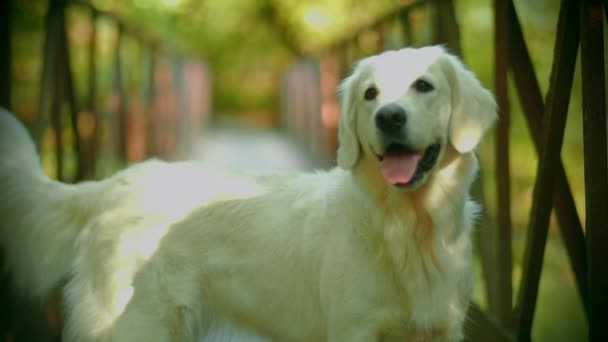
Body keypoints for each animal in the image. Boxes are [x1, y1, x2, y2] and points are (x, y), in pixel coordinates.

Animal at [0, 46, 494, 342]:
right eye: (370, 94)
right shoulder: (355, 328)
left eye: (424, 86)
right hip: (135, 324)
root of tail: (116, 183)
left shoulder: (444, 329)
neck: (406, 228)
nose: (389, 117)